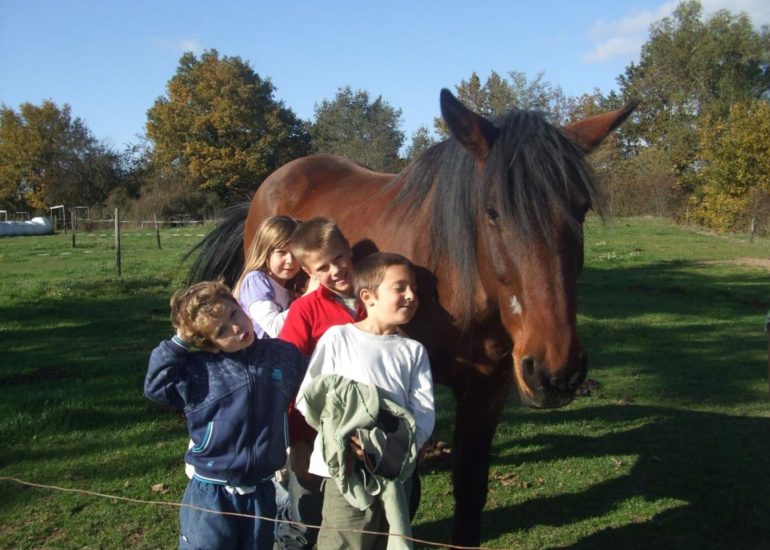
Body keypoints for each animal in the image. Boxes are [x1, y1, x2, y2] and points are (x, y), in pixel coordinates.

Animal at [192, 90, 636, 548]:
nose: (557, 371)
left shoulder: (487, 388)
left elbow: (470, 487)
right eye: (492, 212)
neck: (453, 285)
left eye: (581, 209)